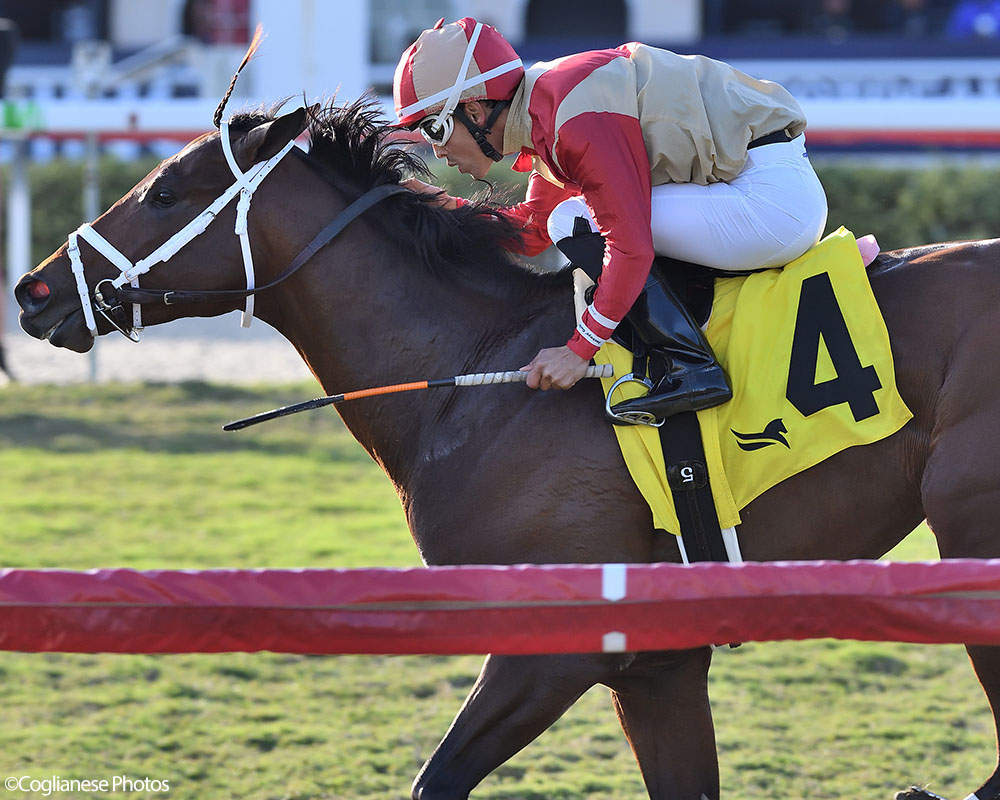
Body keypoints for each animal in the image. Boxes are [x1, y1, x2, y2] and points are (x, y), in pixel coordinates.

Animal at [13, 95, 1000, 800]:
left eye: (163, 193)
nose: (31, 291)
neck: (470, 374)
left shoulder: (553, 649)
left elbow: (436, 780)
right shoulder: (660, 666)